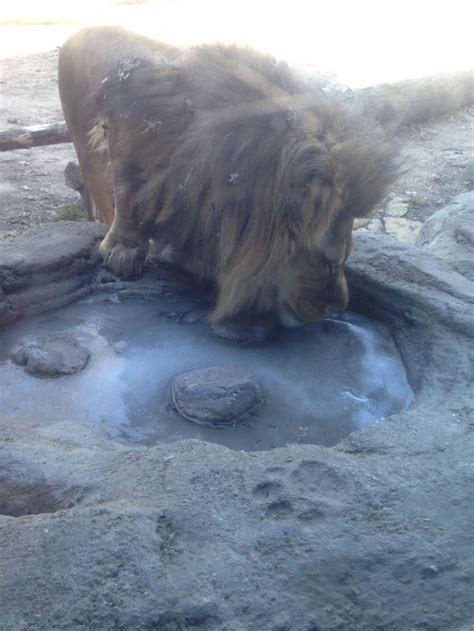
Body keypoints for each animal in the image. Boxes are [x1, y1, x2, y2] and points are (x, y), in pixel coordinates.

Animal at [59, 25, 400, 340]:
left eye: (347, 259)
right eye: (331, 262)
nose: (339, 307)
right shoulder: (125, 129)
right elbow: (127, 195)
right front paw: (123, 251)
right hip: (83, 143)